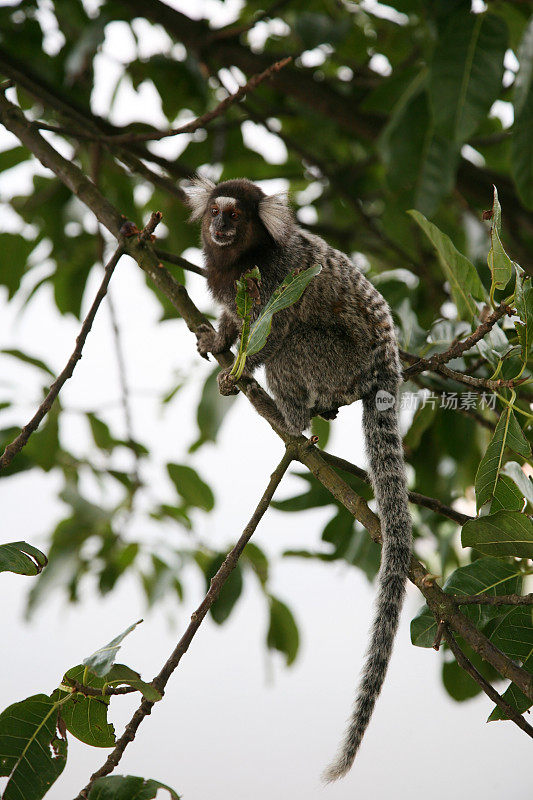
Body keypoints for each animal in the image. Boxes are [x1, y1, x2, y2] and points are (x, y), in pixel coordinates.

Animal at [183, 177, 412, 780]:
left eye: (235, 216)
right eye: (215, 212)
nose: (220, 227)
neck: (245, 258)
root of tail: (386, 369)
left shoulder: (276, 279)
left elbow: (270, 331)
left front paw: (232, 368)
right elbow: (237, 324)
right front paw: (217, 339)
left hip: (337, 363)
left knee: (292, 347)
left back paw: (295, 425)